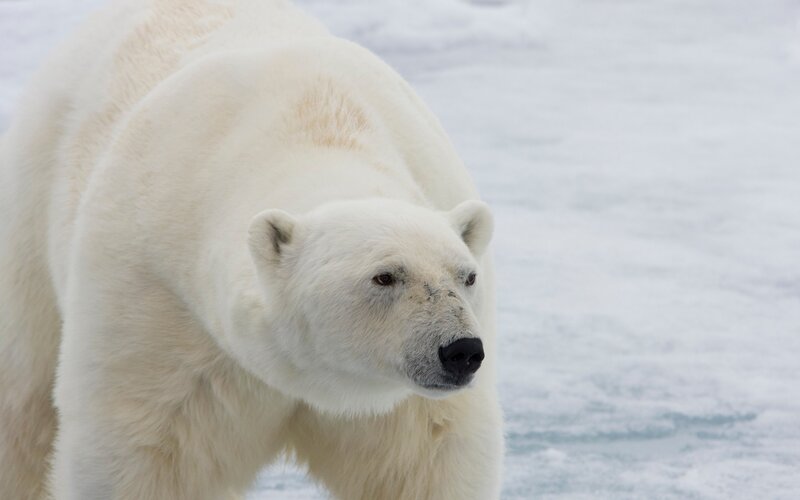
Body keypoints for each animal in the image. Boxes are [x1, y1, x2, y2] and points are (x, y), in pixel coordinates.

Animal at [0, 0, 504, 499]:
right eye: (385, 276)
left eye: (467, 276)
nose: (461, 350)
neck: (314, 122)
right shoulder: (156, 299)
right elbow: (139, 451)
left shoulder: (406, 405)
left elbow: (429, 459)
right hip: (33, 199)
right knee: (23, 401)